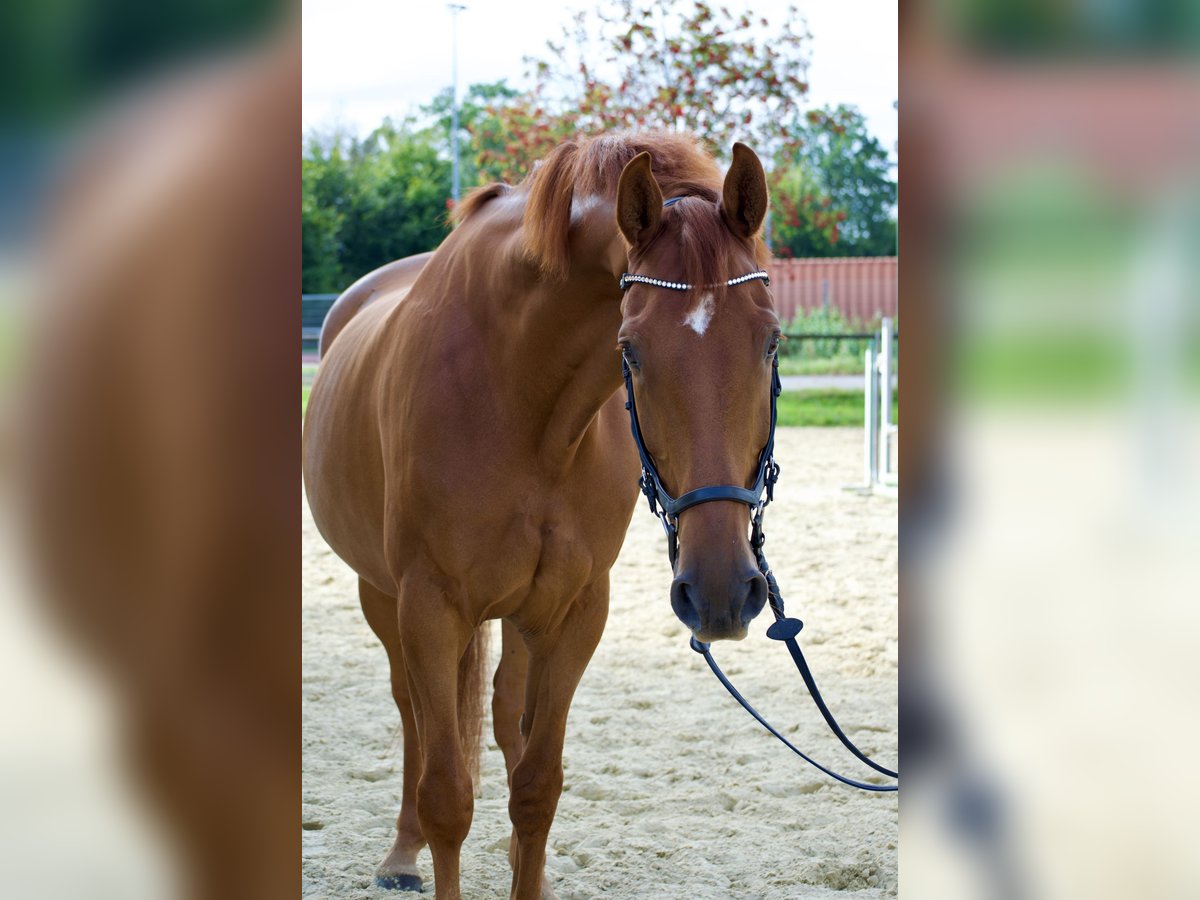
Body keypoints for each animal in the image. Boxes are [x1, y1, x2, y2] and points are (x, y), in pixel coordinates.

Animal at [302, 133, 777, 900]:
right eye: (630, 349)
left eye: (770, 342)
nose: (721, 593)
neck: (521, 399)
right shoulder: (429, 607)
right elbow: (446, 796)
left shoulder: (575, 611)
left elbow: (536, 785)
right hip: (382, 595)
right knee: (412, 713)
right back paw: (401, 857)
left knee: (502, 716)